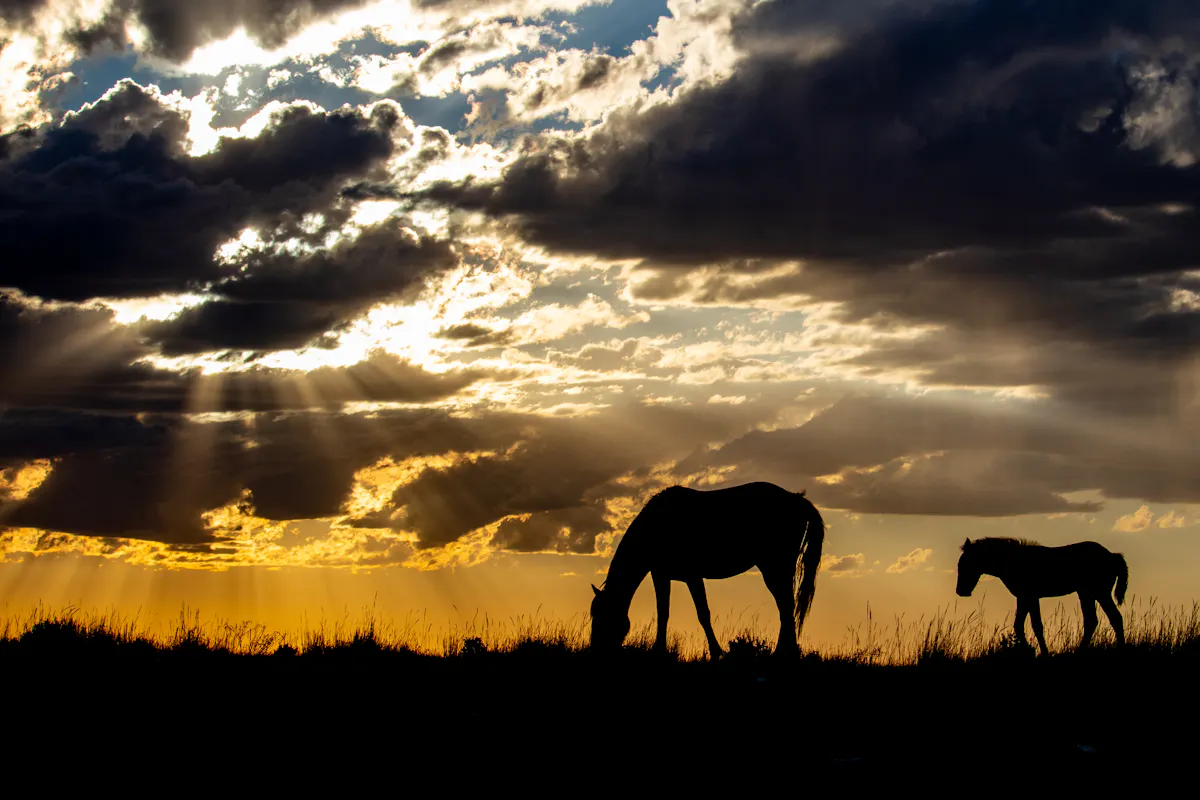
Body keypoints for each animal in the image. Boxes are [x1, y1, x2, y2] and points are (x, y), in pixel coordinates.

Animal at [589, 482, 825, 659]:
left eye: (603, 616)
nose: (595, 651)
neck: (657, 526)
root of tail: (796, 499)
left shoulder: (693, 576)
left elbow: (703, 613)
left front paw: (716, 652)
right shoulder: (661, 575)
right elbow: (663, 612)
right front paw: (659, 650)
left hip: (775, 566)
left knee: (786, 605)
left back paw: (783, 653)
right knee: (786, 606)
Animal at [955, 537, 1128, 656]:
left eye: (966, 564)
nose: (960, 591)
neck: (1014, 561)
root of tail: (1112, 556)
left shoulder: (1030, 597)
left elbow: (1035, 626)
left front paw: (1041, 652)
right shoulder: (1024, 598)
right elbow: (1020, 625)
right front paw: (1031, 650)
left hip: (1098, 592)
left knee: (1111, 618)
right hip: (1088, 594)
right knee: (1098, 620)